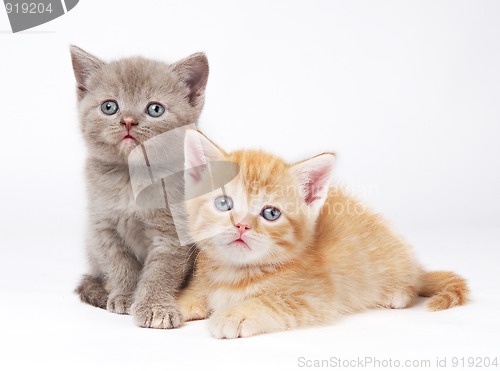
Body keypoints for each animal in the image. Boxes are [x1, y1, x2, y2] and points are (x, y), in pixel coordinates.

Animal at [70, 45, 207, 328]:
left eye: (155, 109)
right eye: (109, 106)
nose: (128, 121)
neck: (131, 180)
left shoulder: (173, 233)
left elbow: (160, 272)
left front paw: (155, 307)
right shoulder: (102, 227)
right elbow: (119, 264)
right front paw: (124, 295)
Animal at [176, 131, 468, 340]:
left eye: (271, 213)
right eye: (224, 203)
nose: (241, 226)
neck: (233, 272)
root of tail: (416, 268)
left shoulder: (316, 297)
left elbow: (270, 302)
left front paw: (236, 315)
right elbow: (196, 290)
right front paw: (176, 303)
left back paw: (396, 294)